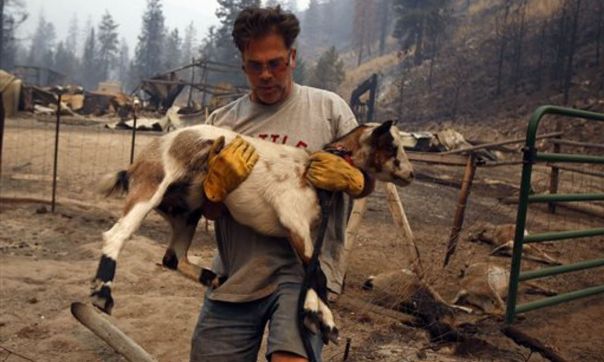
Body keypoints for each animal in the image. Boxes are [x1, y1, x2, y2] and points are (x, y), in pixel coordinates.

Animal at [91, 121, 416, 342]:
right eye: (392, 145)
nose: (411, 174)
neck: (311, 171)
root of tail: (138, 163)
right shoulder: (294, 220)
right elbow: (318, 274)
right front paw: (323, 319)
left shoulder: (303, 232)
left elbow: (312, 270)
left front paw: (315, 313)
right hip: (152, 187)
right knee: (117, 234)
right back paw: (102, 293)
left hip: (188, 211)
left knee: (173, 257)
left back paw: (213, 277)